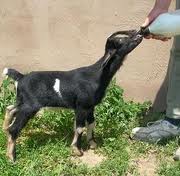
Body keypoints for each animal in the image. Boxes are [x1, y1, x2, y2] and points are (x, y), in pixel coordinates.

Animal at [1, 29, 142, 161]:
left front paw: (92, 143)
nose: (140, 35)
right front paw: (77, 150)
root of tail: (21, 77)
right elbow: (79, 128)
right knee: (14, 128)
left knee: (10, 109)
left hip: (22, 101)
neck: (97, 75)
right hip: (30, 106)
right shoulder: (81, 106)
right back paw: (11, 157)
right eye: (121, 41)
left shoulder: (90, 106)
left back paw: (4, 128)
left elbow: (91, 123)